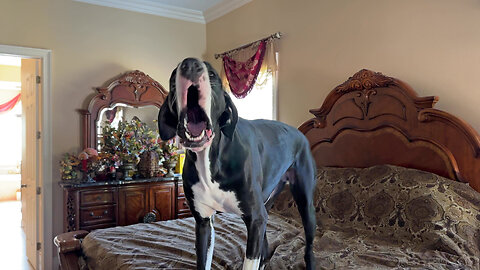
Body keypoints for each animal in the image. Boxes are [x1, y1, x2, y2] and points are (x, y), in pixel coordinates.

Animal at [157, 58, 316, 270]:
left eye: (212, 74)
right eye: (173, 76)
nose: (190, 64)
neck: (210, 159)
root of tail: (299, 133)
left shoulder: (255, 219)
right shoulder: (204, 222)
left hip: (305, 204)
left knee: (308, 247)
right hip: (266, 205)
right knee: (265, 246)